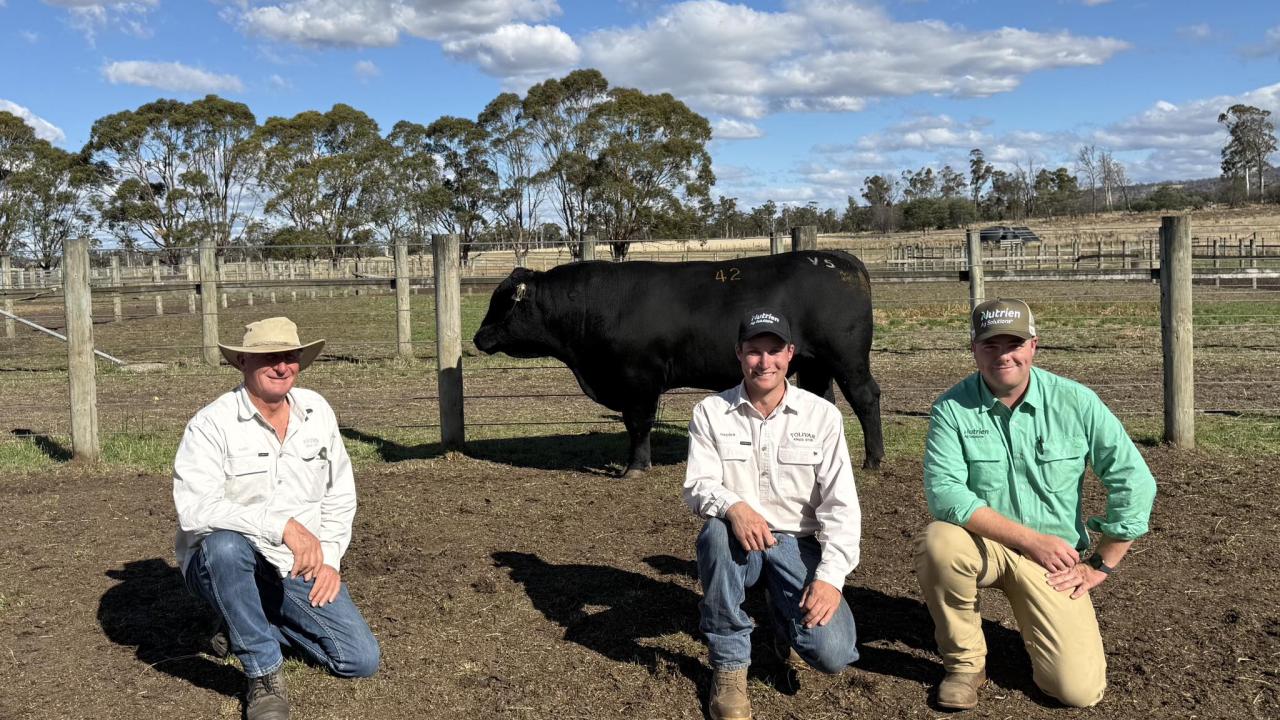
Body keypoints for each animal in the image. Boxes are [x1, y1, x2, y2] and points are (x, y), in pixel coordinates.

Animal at [473, 250, 883, 478]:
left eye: (501, 302)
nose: (478, 337)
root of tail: (840, 259)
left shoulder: (639, 379)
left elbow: (638, 424)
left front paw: (635, 467)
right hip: (815, 365)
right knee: (826, 402)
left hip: (847, 358)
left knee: (865, 397)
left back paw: (873, 460)